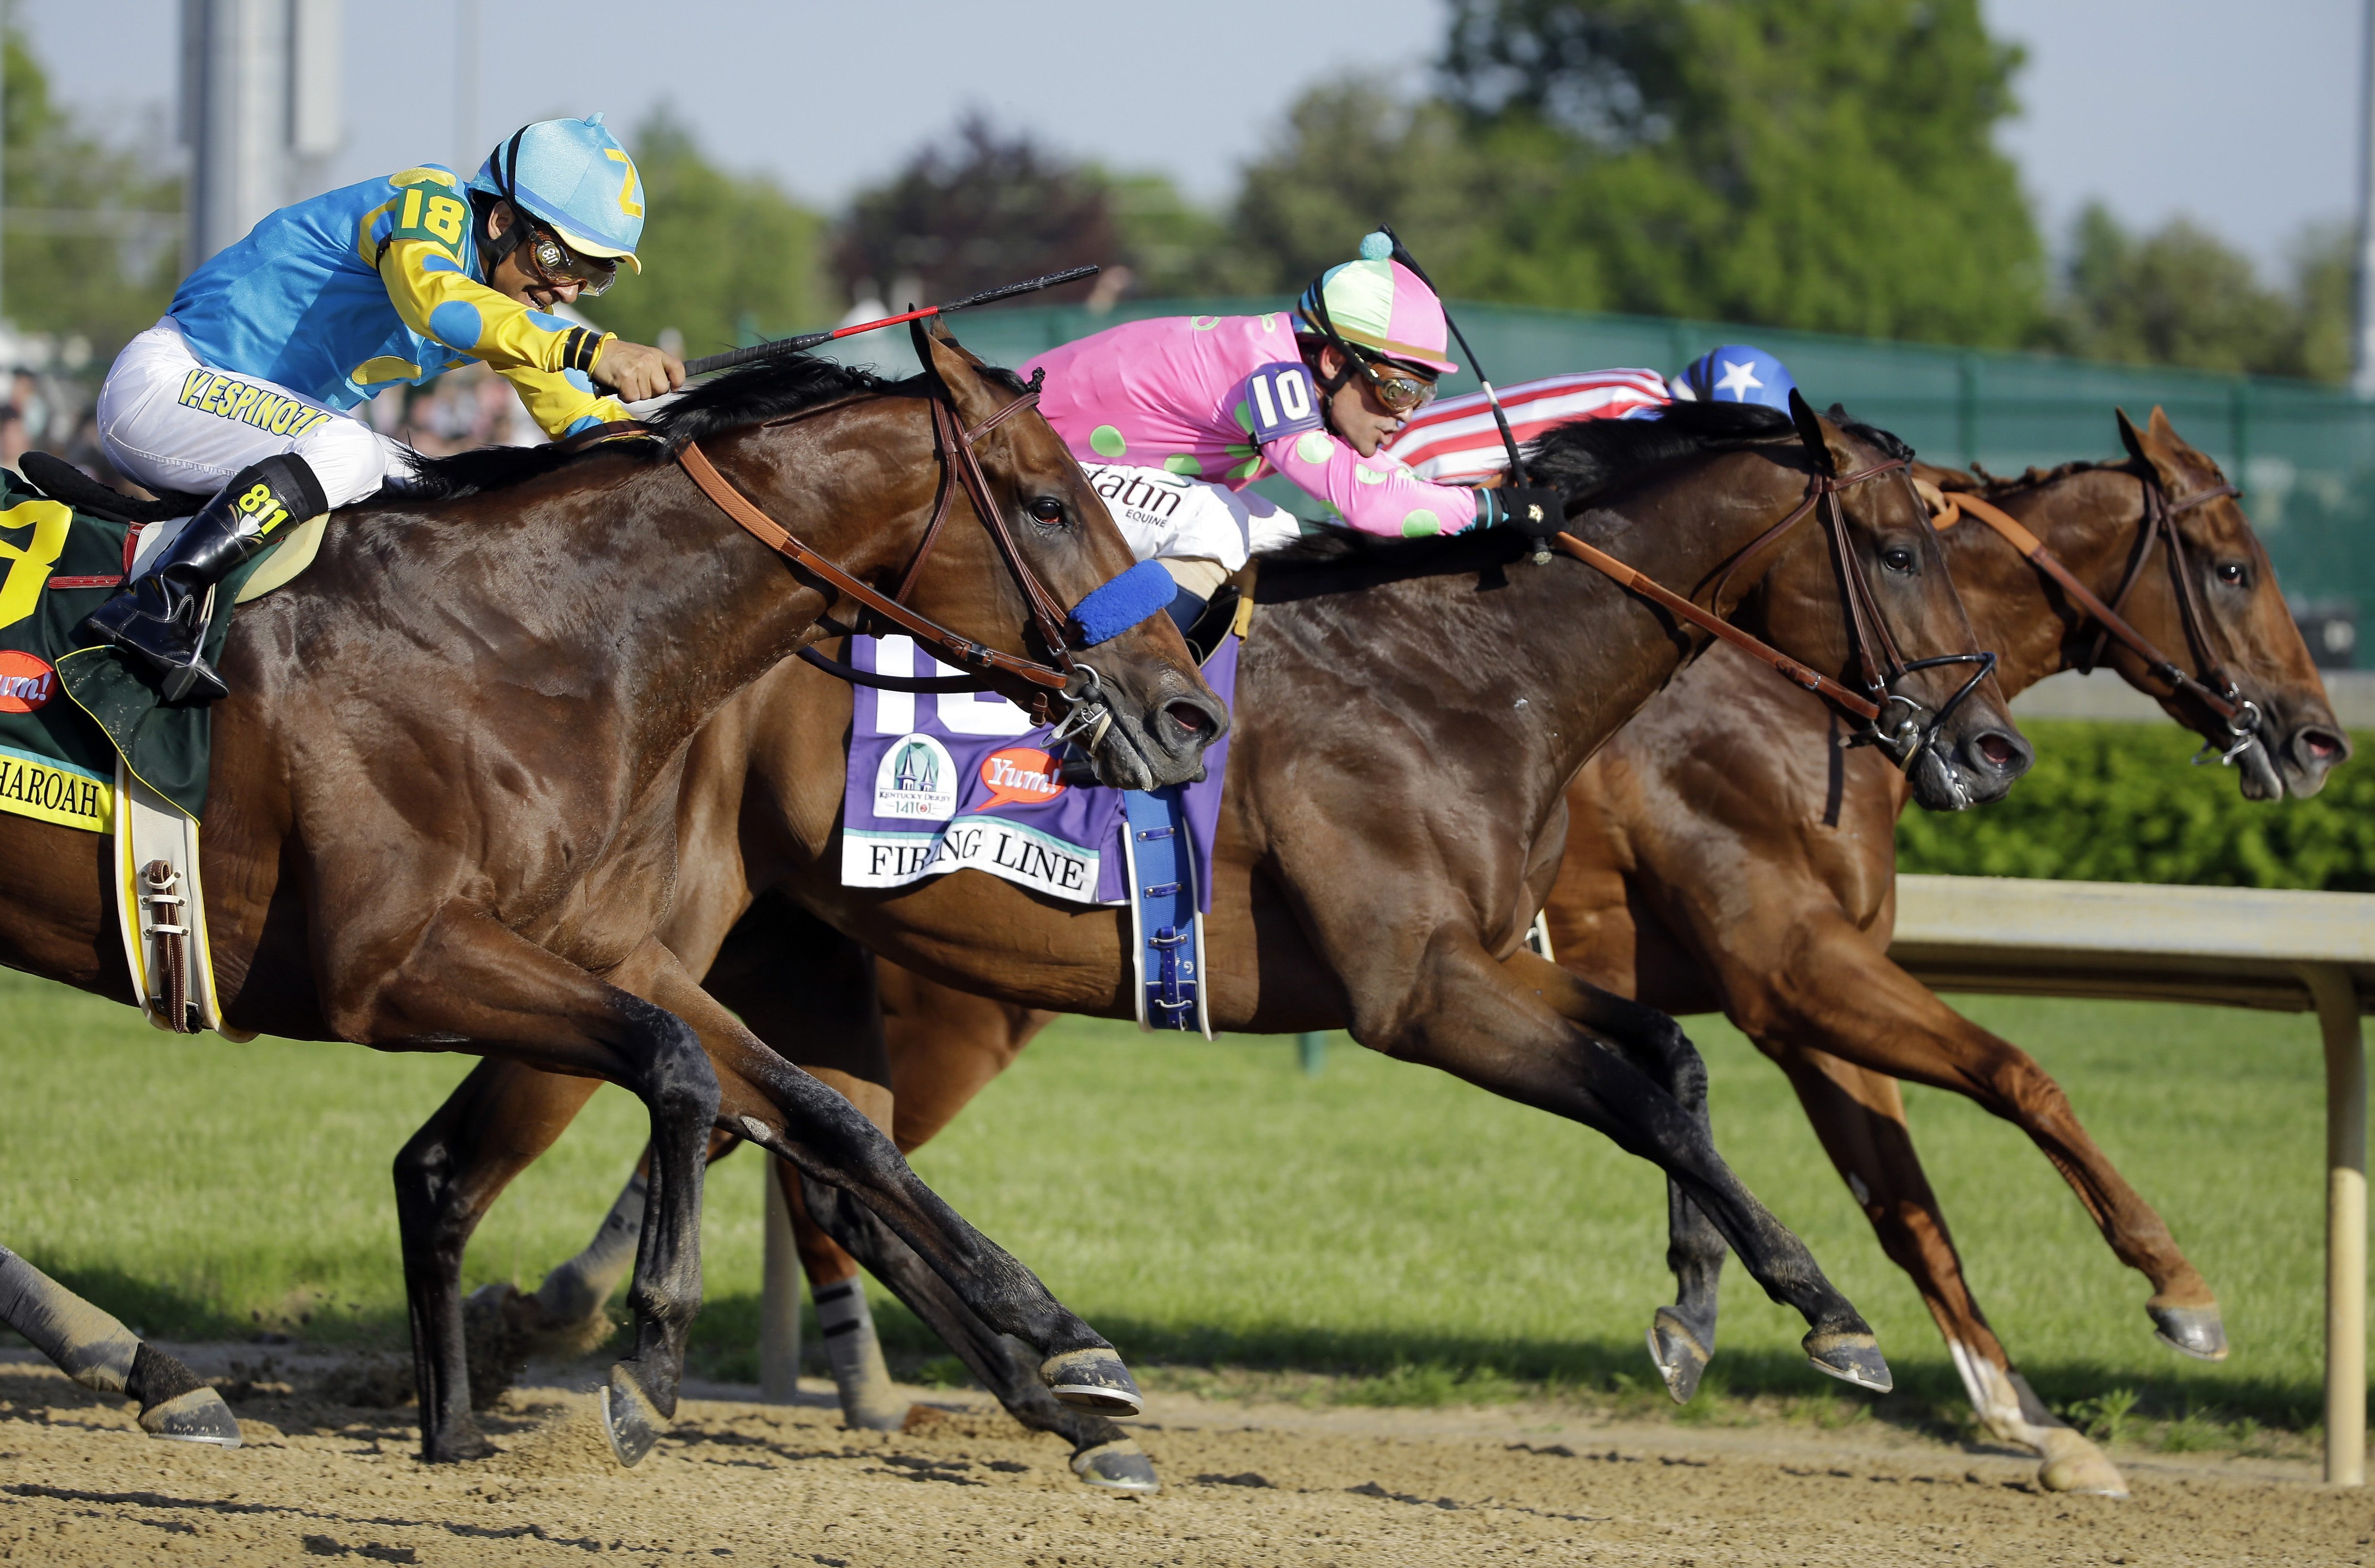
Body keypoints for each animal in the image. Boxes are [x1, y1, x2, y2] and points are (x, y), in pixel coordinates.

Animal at [0, 325, 1225, 1463]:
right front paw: (649, 1355)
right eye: (1049, 504)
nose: (1187, 714)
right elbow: (675, 1067)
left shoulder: (604, 946)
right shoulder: (386, 965)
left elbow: (825, 1116)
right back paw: (154, 1372)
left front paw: (1064, 1336)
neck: (523, 635)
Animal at [551, 401, 2318, 1492]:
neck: (1480, 675)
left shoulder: (1616, 966)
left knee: (812, 1144)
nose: (1988, 750)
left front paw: (1937, 1381)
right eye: (2234, 563)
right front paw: (2131, 1301)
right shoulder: (1493, 983)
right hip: (841, 968)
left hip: (823, 945)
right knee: (794, 1139)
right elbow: (1961, 1085)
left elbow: (1719, 1095)